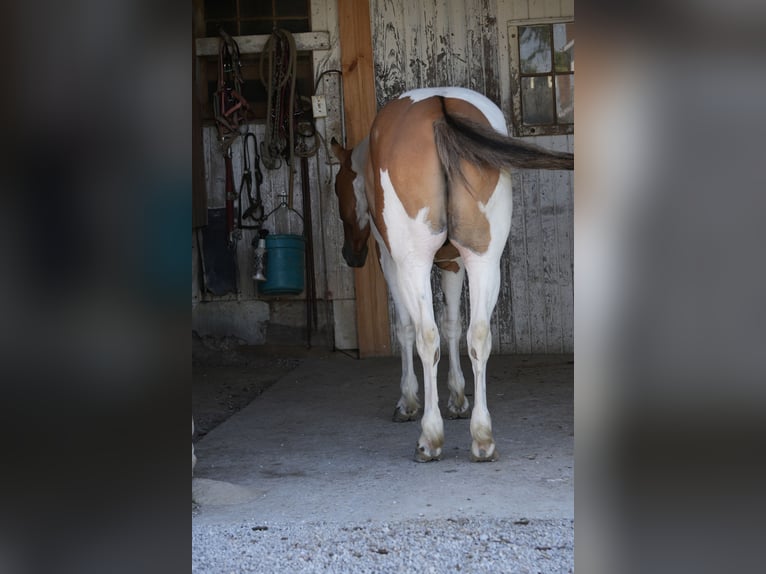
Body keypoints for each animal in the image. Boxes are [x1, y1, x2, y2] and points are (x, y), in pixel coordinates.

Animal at [331, 87, 573, 462]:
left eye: (337, 187)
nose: (350, 255)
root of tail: (439, 107)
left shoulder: (391, 262)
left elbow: (409, 328)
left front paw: (408, 401)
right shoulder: (454, 263)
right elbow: (454, 326)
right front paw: (458, 398)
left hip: (414, 261)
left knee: (426, 336)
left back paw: (430, 437)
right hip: (483, 259)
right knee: (479, 334)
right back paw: (482, 437)